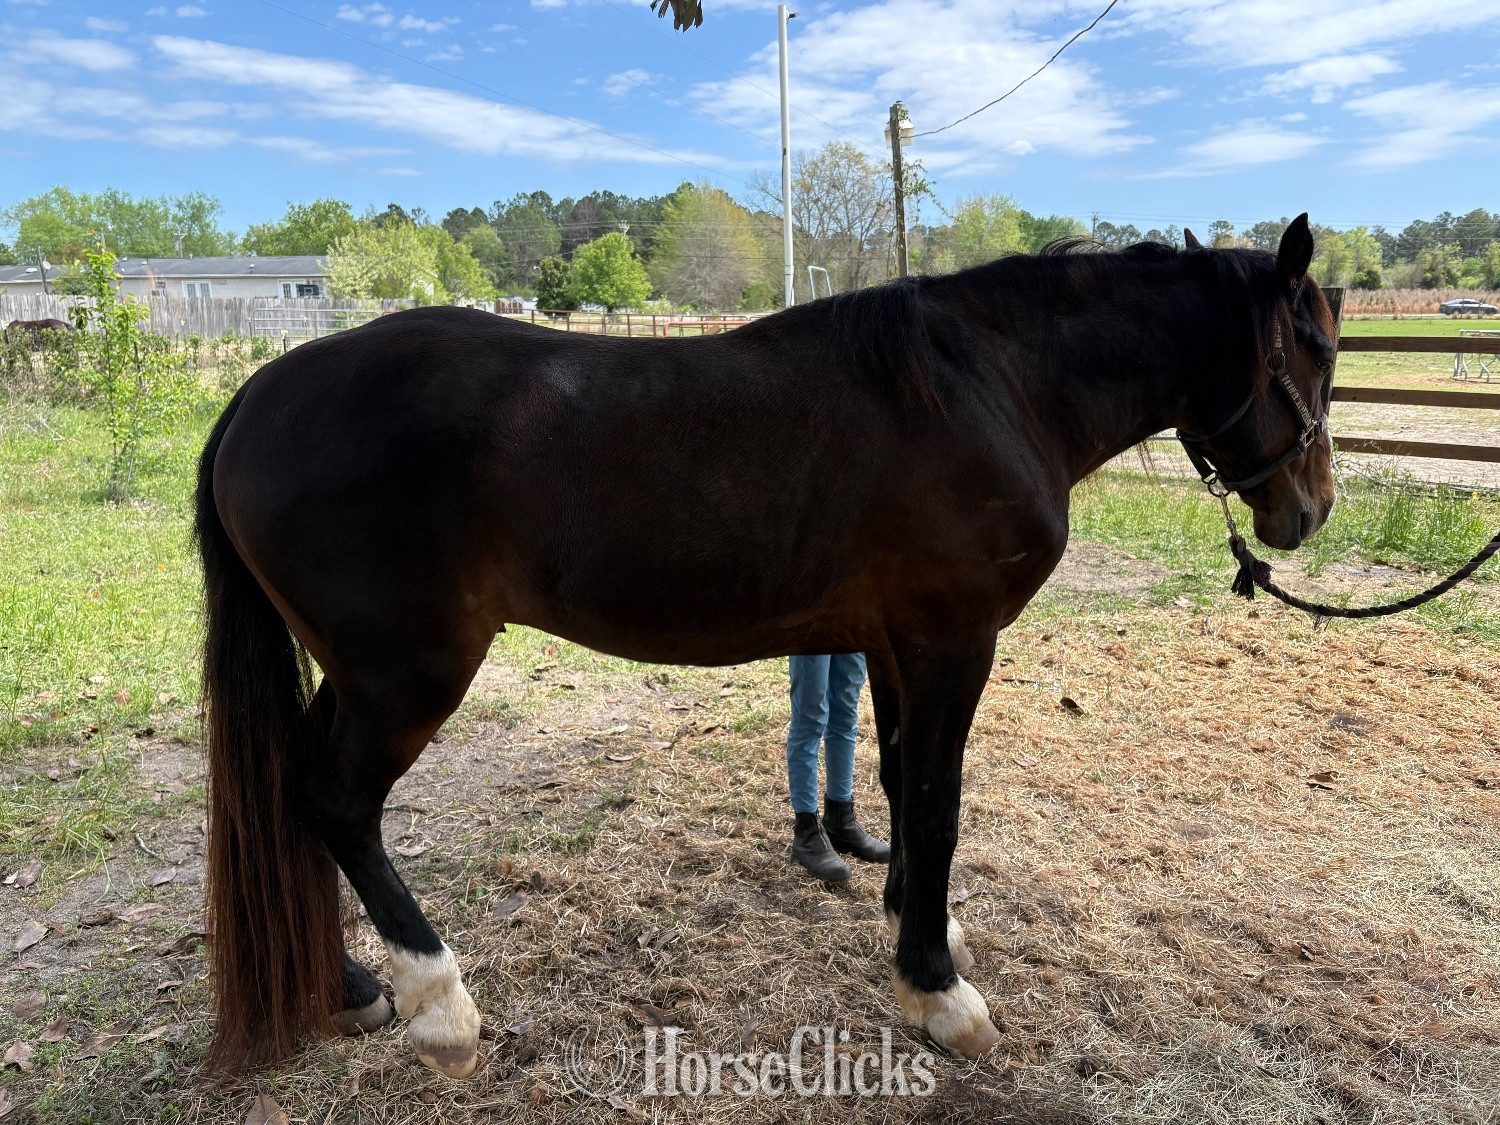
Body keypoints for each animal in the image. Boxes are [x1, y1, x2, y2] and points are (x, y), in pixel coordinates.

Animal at [195, 215, 1337, 1077]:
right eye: (1319, 350)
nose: (1310, 511)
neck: (991, 385)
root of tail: (259, 393)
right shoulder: (953, 641)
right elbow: (938, 801)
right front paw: (940, 990)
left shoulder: (895, 645)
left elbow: (895, 780)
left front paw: (914, 927)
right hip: (404, 675)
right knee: (339, 802)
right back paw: (441, 1006)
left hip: (353, 676)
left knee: (294, 792)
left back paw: (351, 987)